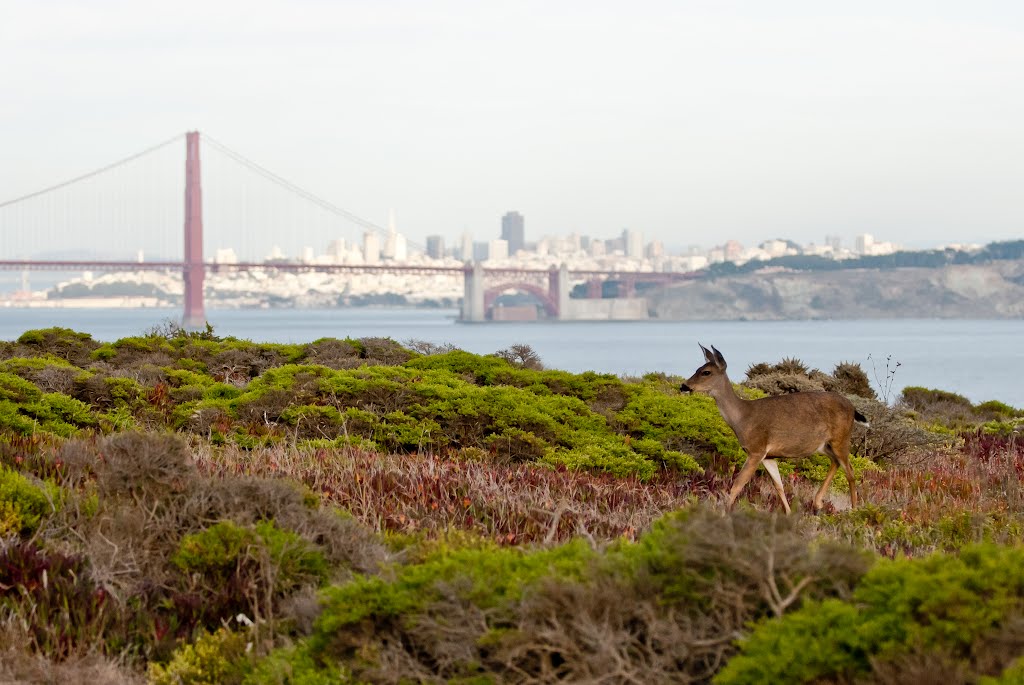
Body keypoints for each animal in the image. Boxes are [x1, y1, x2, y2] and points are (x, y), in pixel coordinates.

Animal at [684, 341, 868, 511]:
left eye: (706, 372)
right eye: (697, 368)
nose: (684, 386)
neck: (743, 418)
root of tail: (853, 408)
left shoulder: (756, 450)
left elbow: (737, 484)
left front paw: (723, 512)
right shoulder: (769, 456)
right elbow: (778, 486)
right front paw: (789, 513)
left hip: (841, 438)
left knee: (851, 472)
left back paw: (854, 509)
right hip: (824, 445)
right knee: (836, 463)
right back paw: (818, 503)